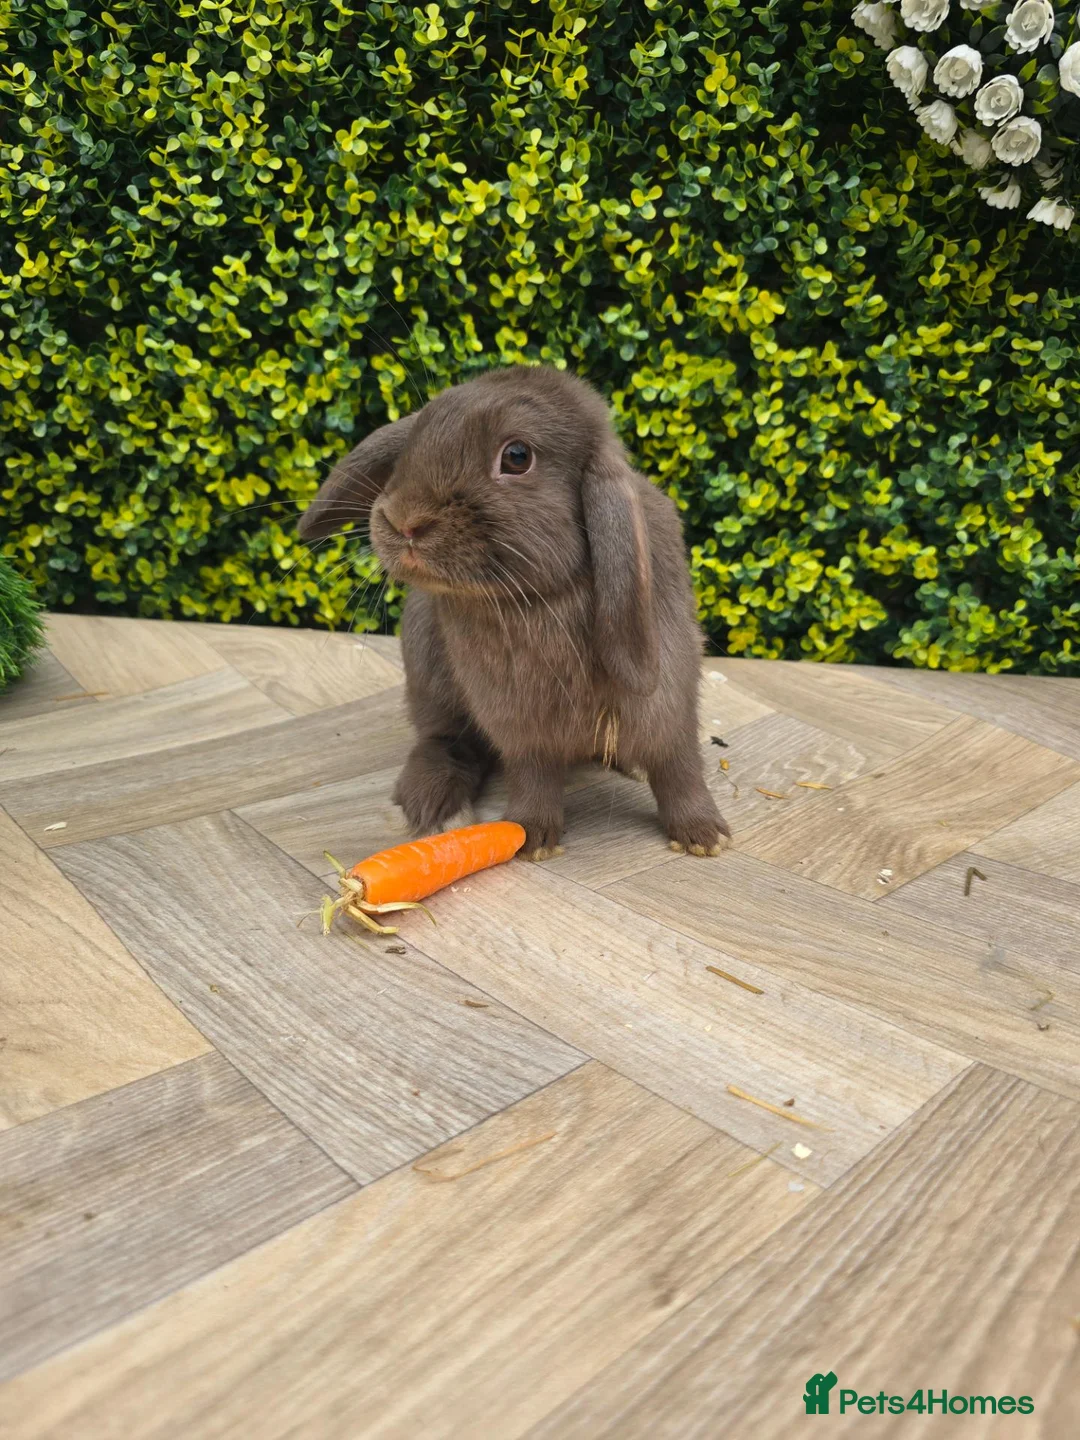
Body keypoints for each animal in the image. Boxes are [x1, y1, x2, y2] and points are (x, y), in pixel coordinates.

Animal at [297, 365, 730, 861]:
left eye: (518, 456)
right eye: (413, 444)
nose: (404, 520)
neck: (537, 599)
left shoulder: (668, 706)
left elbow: (678, 768)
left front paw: (704, 836)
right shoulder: (520, 724)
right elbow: (532, 775)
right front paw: (531, 836)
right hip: (427, 671)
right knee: (443, 738)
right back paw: (432, 802)